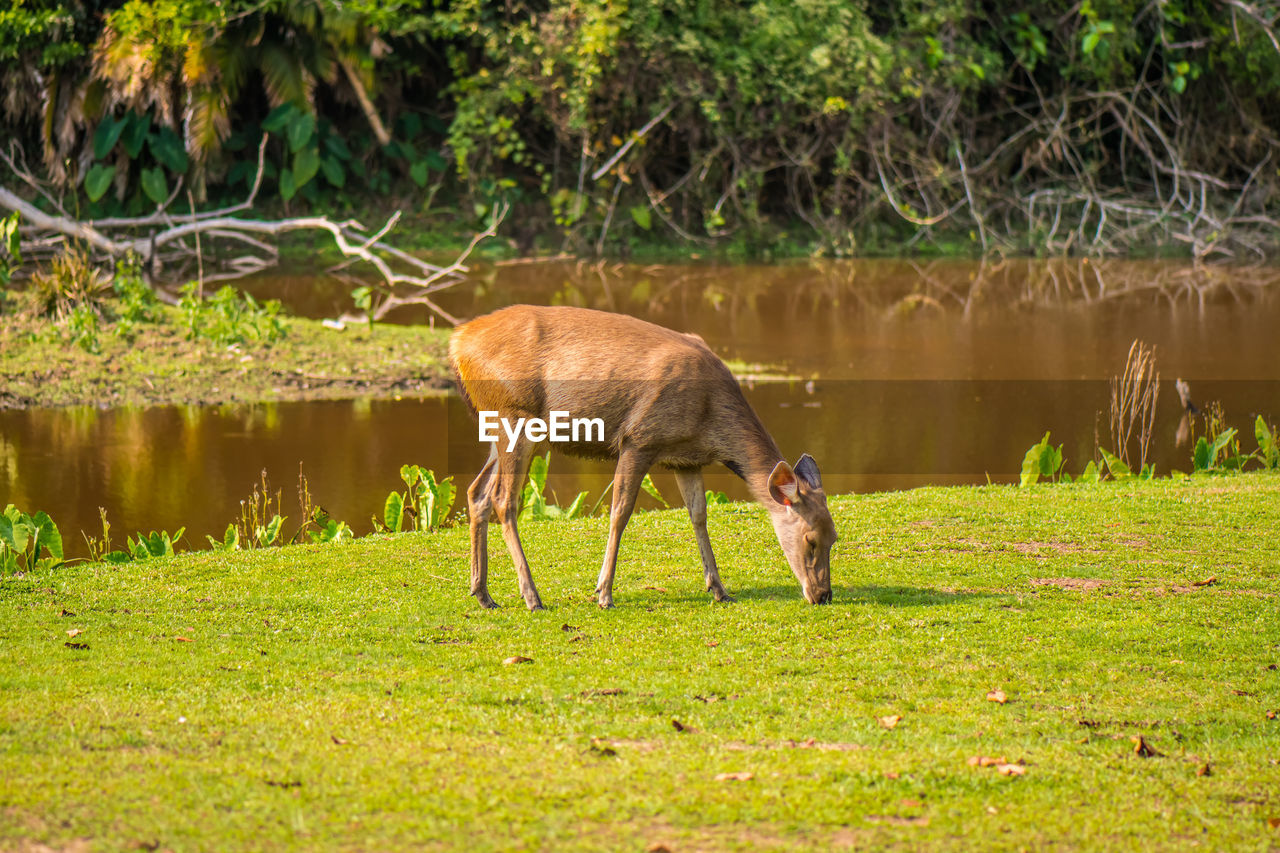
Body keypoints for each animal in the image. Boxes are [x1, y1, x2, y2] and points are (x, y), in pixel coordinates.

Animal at [450, 302, 839, 607]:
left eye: (835, 537)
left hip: (497, 426)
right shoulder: (639, 439)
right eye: (810, 539)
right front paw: (603, 593)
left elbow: (699, 515)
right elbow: (620, 512)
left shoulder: (687, 458)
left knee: (476, 493)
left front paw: (719, 589)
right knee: (504, 500)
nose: (823, 595)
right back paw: (531, 596)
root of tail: (458, 342)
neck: (709, 420)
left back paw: (483, 594)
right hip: (514, 415)